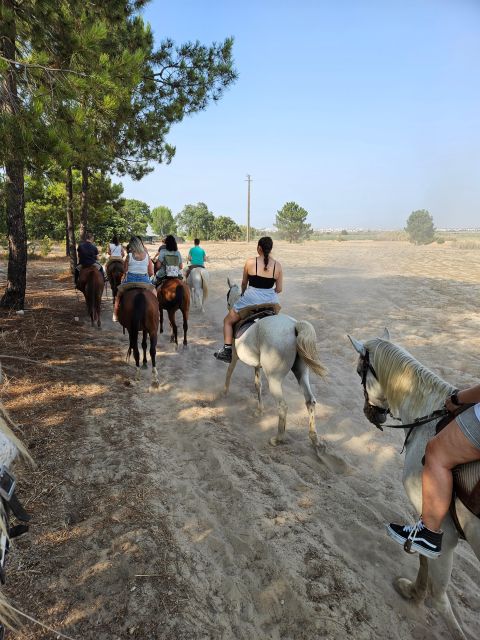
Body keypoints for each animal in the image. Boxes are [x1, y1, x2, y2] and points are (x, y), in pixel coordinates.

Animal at [224, 282, 326, 448]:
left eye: (227, 294)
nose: (228, 306)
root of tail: (294, 326)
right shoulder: (256, 366)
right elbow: (257, 385)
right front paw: (259, 411)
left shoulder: (234, 357)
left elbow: (229, 373)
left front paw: (224, 393)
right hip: (301, 371)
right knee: (310, 401)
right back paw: (314, 438)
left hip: (274, 379)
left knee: (283, 406)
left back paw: (278, 438)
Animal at [348, 330, 480, 640]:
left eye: (360, 372)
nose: (372, 414)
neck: (428, 423)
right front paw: (414, 592)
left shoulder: (444, 533)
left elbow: (433, 580)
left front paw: (416, 593)